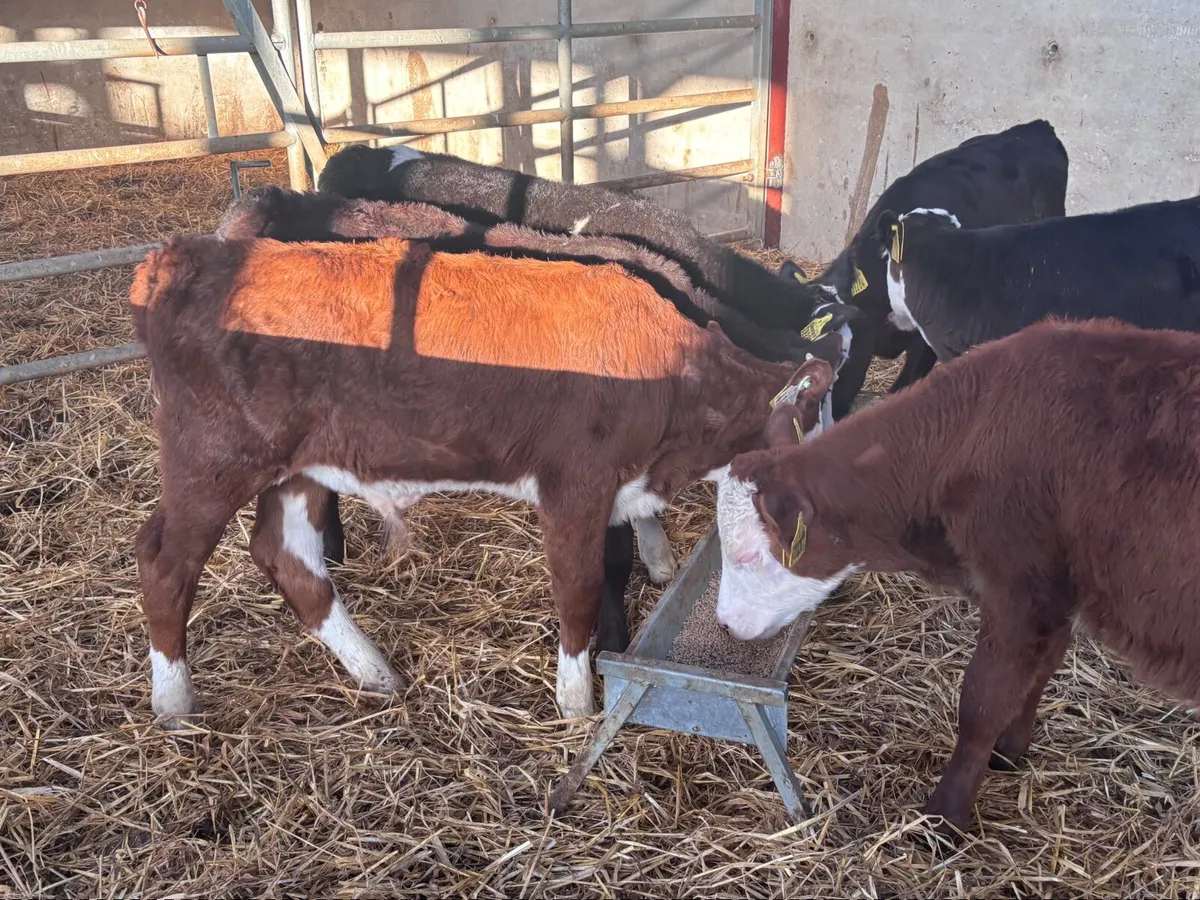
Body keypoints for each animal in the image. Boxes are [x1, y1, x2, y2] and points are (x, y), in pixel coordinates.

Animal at [130, 234, 853, 729]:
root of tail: (180, 257)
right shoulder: (574, 485)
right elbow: (579, 591)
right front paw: (575, 703)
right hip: (213, 458)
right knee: (164, 560)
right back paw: (173, 703)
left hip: (301, 467)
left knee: (289, 558)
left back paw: (377, 674)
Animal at [714, 317, 1200, 835]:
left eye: (747, 554)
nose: (723, 622)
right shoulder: (1054, 598)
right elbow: (1039, 674)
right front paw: (1009, 752)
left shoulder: (1019, 593)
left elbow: (982, 704)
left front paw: (944, 817)